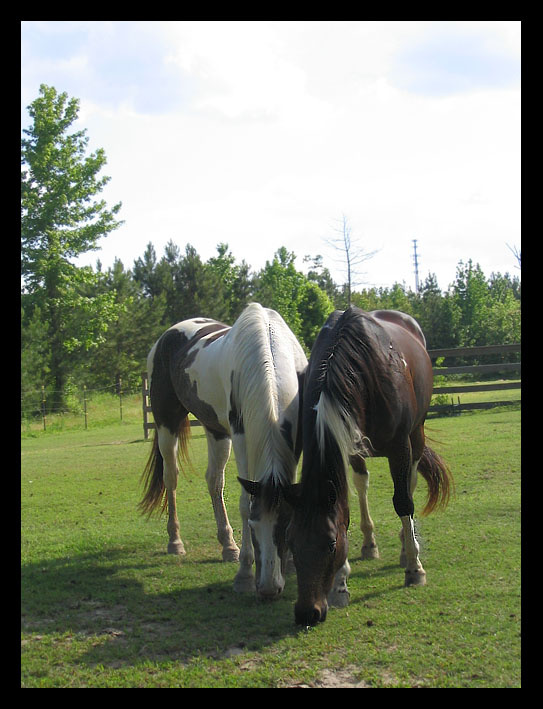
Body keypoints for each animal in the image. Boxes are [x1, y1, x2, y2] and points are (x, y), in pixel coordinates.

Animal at [139, 303, 307, 600]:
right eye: (253, 526)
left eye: (286, 525)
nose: (268, 589)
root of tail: (165, 337)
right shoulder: (240, 436)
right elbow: (244, 502)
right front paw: (244, 574)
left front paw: (289, 564)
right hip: (166, 422)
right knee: (171, 477)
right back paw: (175, 541)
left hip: (215, 430)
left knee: (214, 480)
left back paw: (228, 546)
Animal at [283, 307, 452, 625]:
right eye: (291, 544)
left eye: (331, 544)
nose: (307, 613)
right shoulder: (347, 442)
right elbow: (346, 506)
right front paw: (340, 583)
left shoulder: (400, 446)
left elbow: (403, 502)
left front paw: (415, 569)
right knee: (363, 484)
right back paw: (370, 544)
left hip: (416, 435)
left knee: (409, 484)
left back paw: (407, 547)